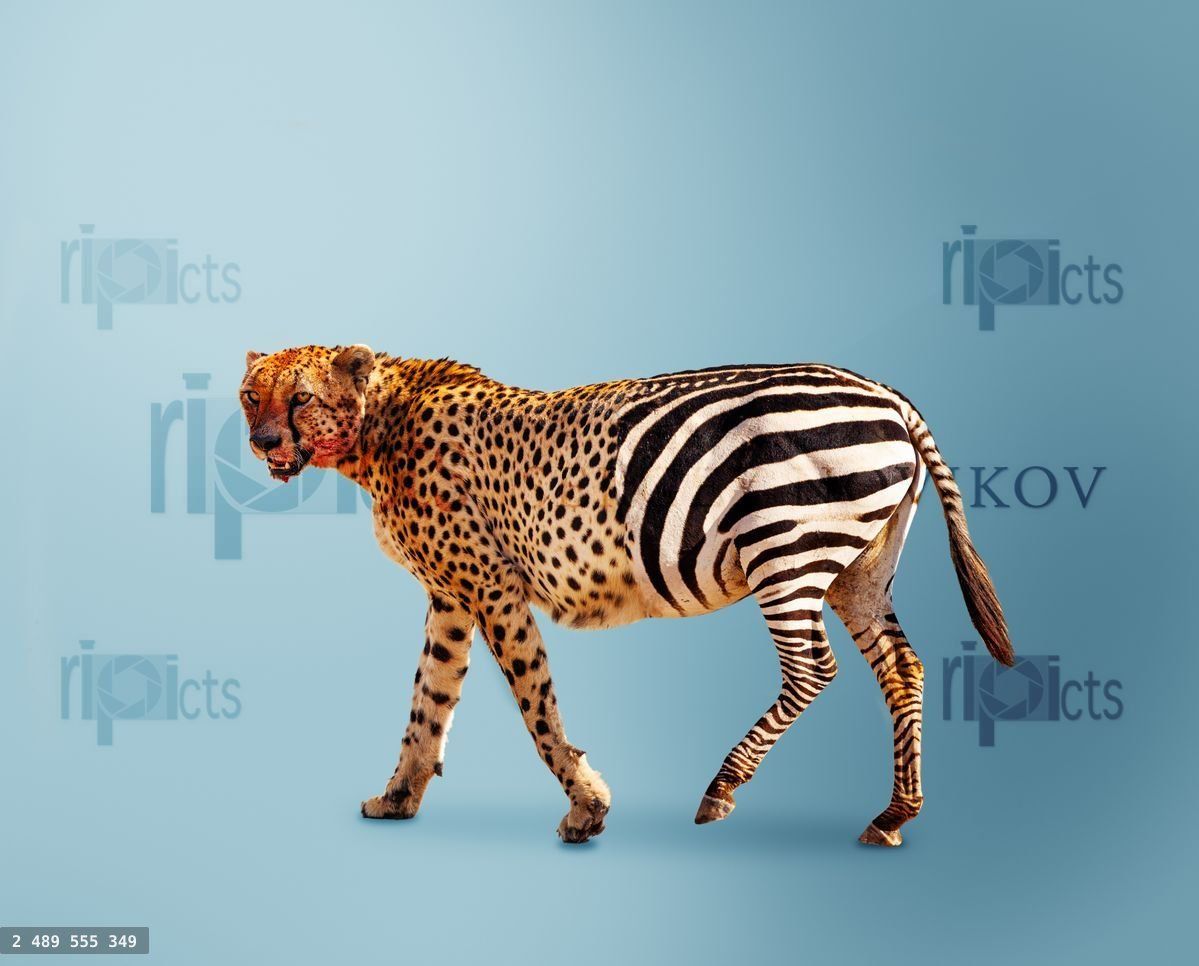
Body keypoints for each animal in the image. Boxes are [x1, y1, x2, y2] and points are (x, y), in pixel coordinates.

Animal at [240, 347, 1014, 845]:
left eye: (301, 397)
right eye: (253, 394)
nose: (263, 439)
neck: (380, 424)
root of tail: (883, 390)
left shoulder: (492, 588)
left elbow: (536, 705)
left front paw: (586, 809)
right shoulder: (452, 597)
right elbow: (427, 704)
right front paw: (398, 798)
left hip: (784, 552)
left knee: (812, 669)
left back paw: (721, 788)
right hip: (856, 570)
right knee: (902, 669)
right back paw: (894, 815)